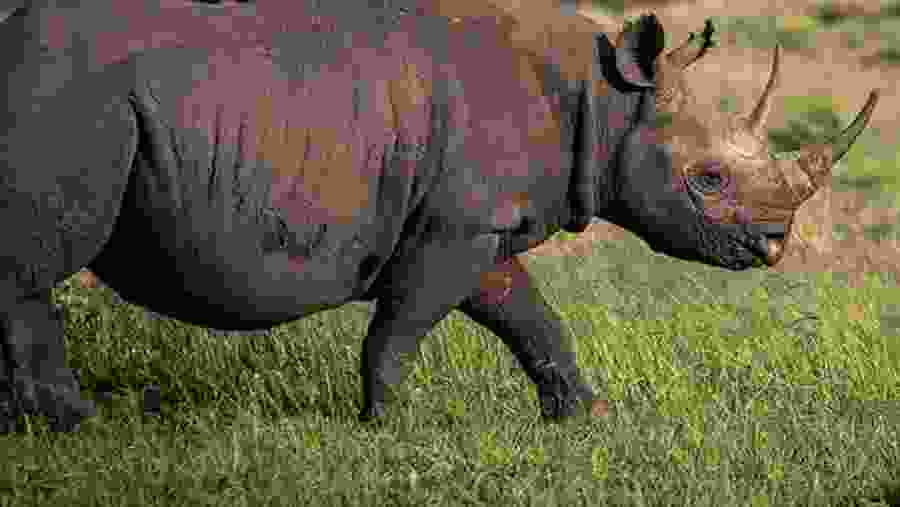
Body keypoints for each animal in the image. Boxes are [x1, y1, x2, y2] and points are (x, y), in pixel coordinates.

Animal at [0, 1, 879, 432]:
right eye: (708, 178)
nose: (774, 245)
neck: (609, 97)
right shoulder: (455, 226)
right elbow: (405, 324)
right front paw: (387, 424)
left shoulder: (480, 223)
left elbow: (532, 316)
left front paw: (586, 416)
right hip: (74, 95)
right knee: (34, 264)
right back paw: (84, 426)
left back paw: (41, 427)